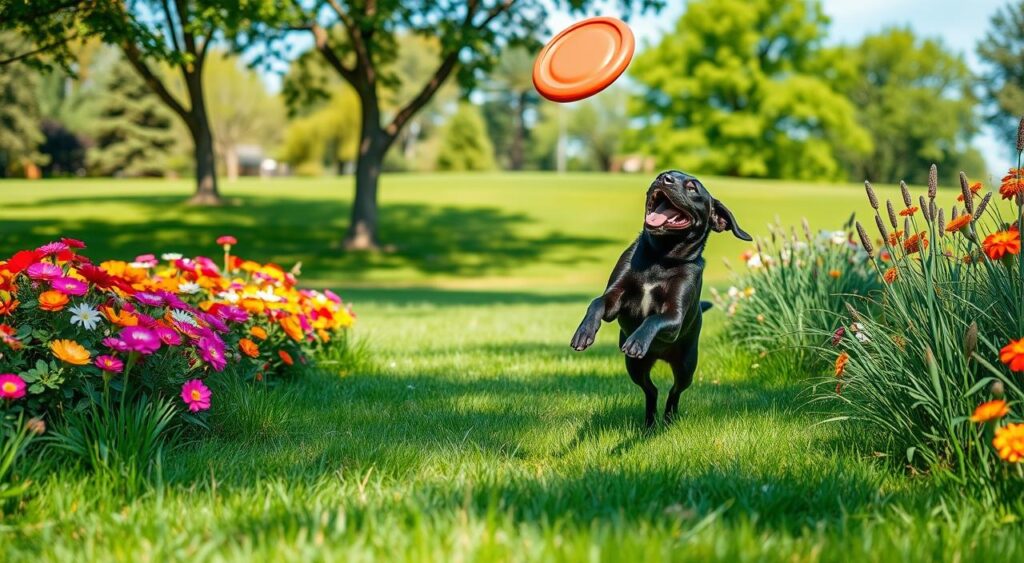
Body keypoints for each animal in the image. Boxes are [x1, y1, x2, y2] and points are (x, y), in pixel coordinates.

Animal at [573, 170, 749, 427]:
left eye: (692, 187)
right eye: (663, 174)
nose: (664, 178)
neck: (660, 258)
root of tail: (659, 356)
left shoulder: (674, 316)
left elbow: (653, 319)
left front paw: (637, 341)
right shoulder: (614, 299)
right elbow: (597, 303)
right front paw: (583, 333)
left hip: (686, 366)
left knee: (675, 392)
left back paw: (668, 418)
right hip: (635, 367)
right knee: (652, 390)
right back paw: (649, 423)